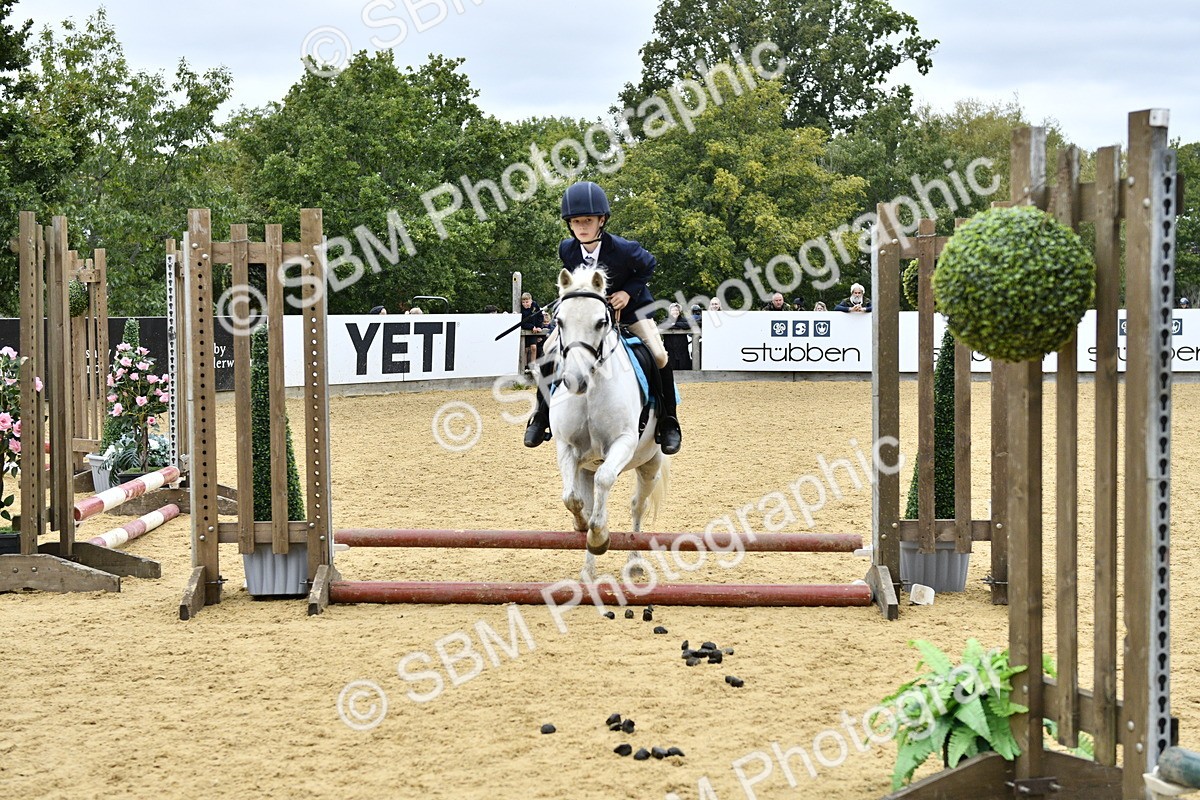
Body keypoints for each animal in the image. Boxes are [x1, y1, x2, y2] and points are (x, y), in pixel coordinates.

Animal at [548, 266, 670, 581]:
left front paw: (600, 535)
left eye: (601, 322)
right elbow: (572, 498)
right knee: (590, 499)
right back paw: (588, 572)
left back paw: (634, 562)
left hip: (650, 465)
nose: (575, 381)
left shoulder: (623, 443)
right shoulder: (566, 446)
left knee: (637, 506)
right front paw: (582, 526)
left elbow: (605, 480)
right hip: (585, 468)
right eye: (560, 321)